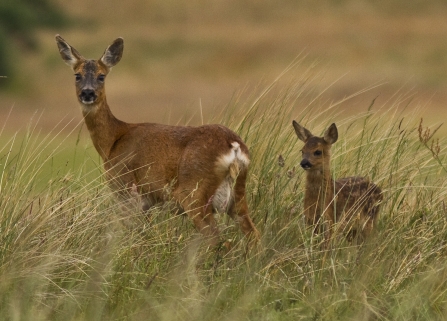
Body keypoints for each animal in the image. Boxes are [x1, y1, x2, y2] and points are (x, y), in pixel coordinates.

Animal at [56, 34, 260, 245]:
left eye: (101, 76)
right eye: (77, 75)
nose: (88, 93)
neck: (113, 140)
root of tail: (234, 146)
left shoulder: (125, 188)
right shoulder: (147, 201)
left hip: (193, 193)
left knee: (218, 240)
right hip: (238, 195)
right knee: (254, 235)